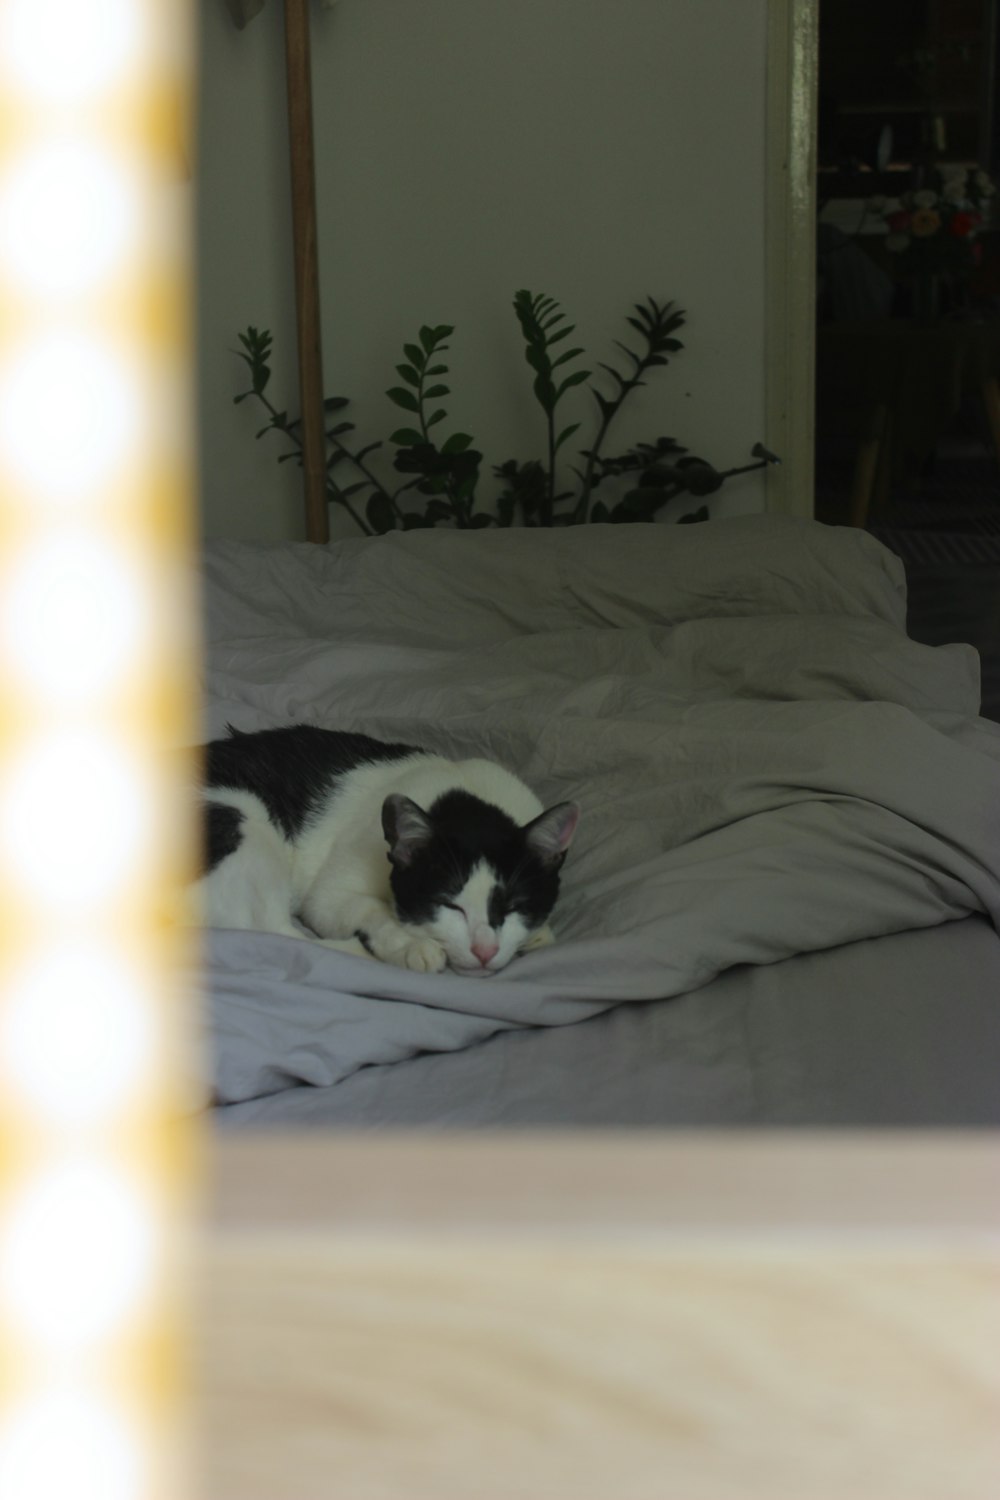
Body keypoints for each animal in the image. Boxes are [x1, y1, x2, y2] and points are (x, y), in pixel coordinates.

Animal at [194, 723, 578, 978]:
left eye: (514, 907)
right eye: (449, 904)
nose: (485, 951)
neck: (465, 794)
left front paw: (536, 934)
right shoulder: (329, 895)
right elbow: (366, 909)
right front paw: (410, 944)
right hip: (245, 823)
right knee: (275, 936)